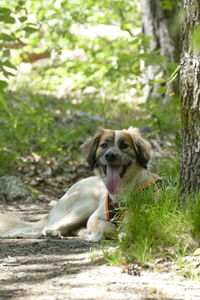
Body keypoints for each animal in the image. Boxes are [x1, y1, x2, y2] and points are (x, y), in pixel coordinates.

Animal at [0, 126, 160, 241]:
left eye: (124, 145)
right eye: (104, 145)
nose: (110, 155)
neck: (124, 190)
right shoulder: (95, 217)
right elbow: (107, 226)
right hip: (85, 207)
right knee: (50, 227)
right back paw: (54, 232)